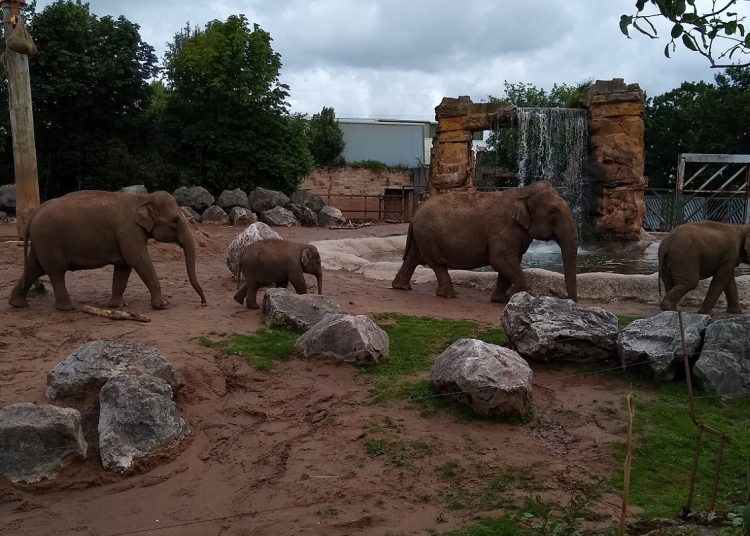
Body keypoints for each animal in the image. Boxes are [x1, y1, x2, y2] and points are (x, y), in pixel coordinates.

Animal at [8, 190, 206, 311]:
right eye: (175, 220)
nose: (203, 302)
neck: (143, 198)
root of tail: (33, 213)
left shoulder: (126, 235)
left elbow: (124, 267)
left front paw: (118, 306)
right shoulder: (128, 231)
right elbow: (138, 260)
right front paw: (163, 305)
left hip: (41, 242)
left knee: (34, 268)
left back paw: (17, 304)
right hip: (49, 240)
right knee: (56, 272)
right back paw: (68, 308)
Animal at [391, 181, 578, 302]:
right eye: (553, 211)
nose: (571, 301)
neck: (523, 191)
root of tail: (416, 211)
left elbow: (510, 261)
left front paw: (500, 299)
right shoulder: (503, 228)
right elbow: (500, 259)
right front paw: (519, 294)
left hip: (422, 236)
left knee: (412, 259)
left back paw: (401, 287)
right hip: (428, 236)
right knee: (437, 265)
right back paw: (448, 295)